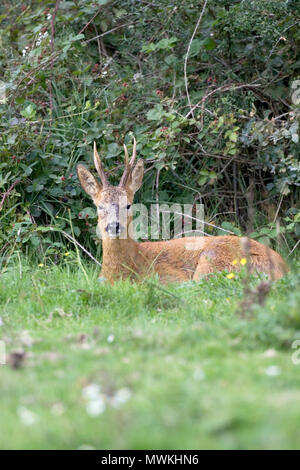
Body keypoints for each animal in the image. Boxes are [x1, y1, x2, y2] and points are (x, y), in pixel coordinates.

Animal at [77, 136, 288, 282]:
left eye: (128, 204)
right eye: (99, 206)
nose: (114, 226)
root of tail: (284, 268)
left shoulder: (170, 277)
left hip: (211, 263)